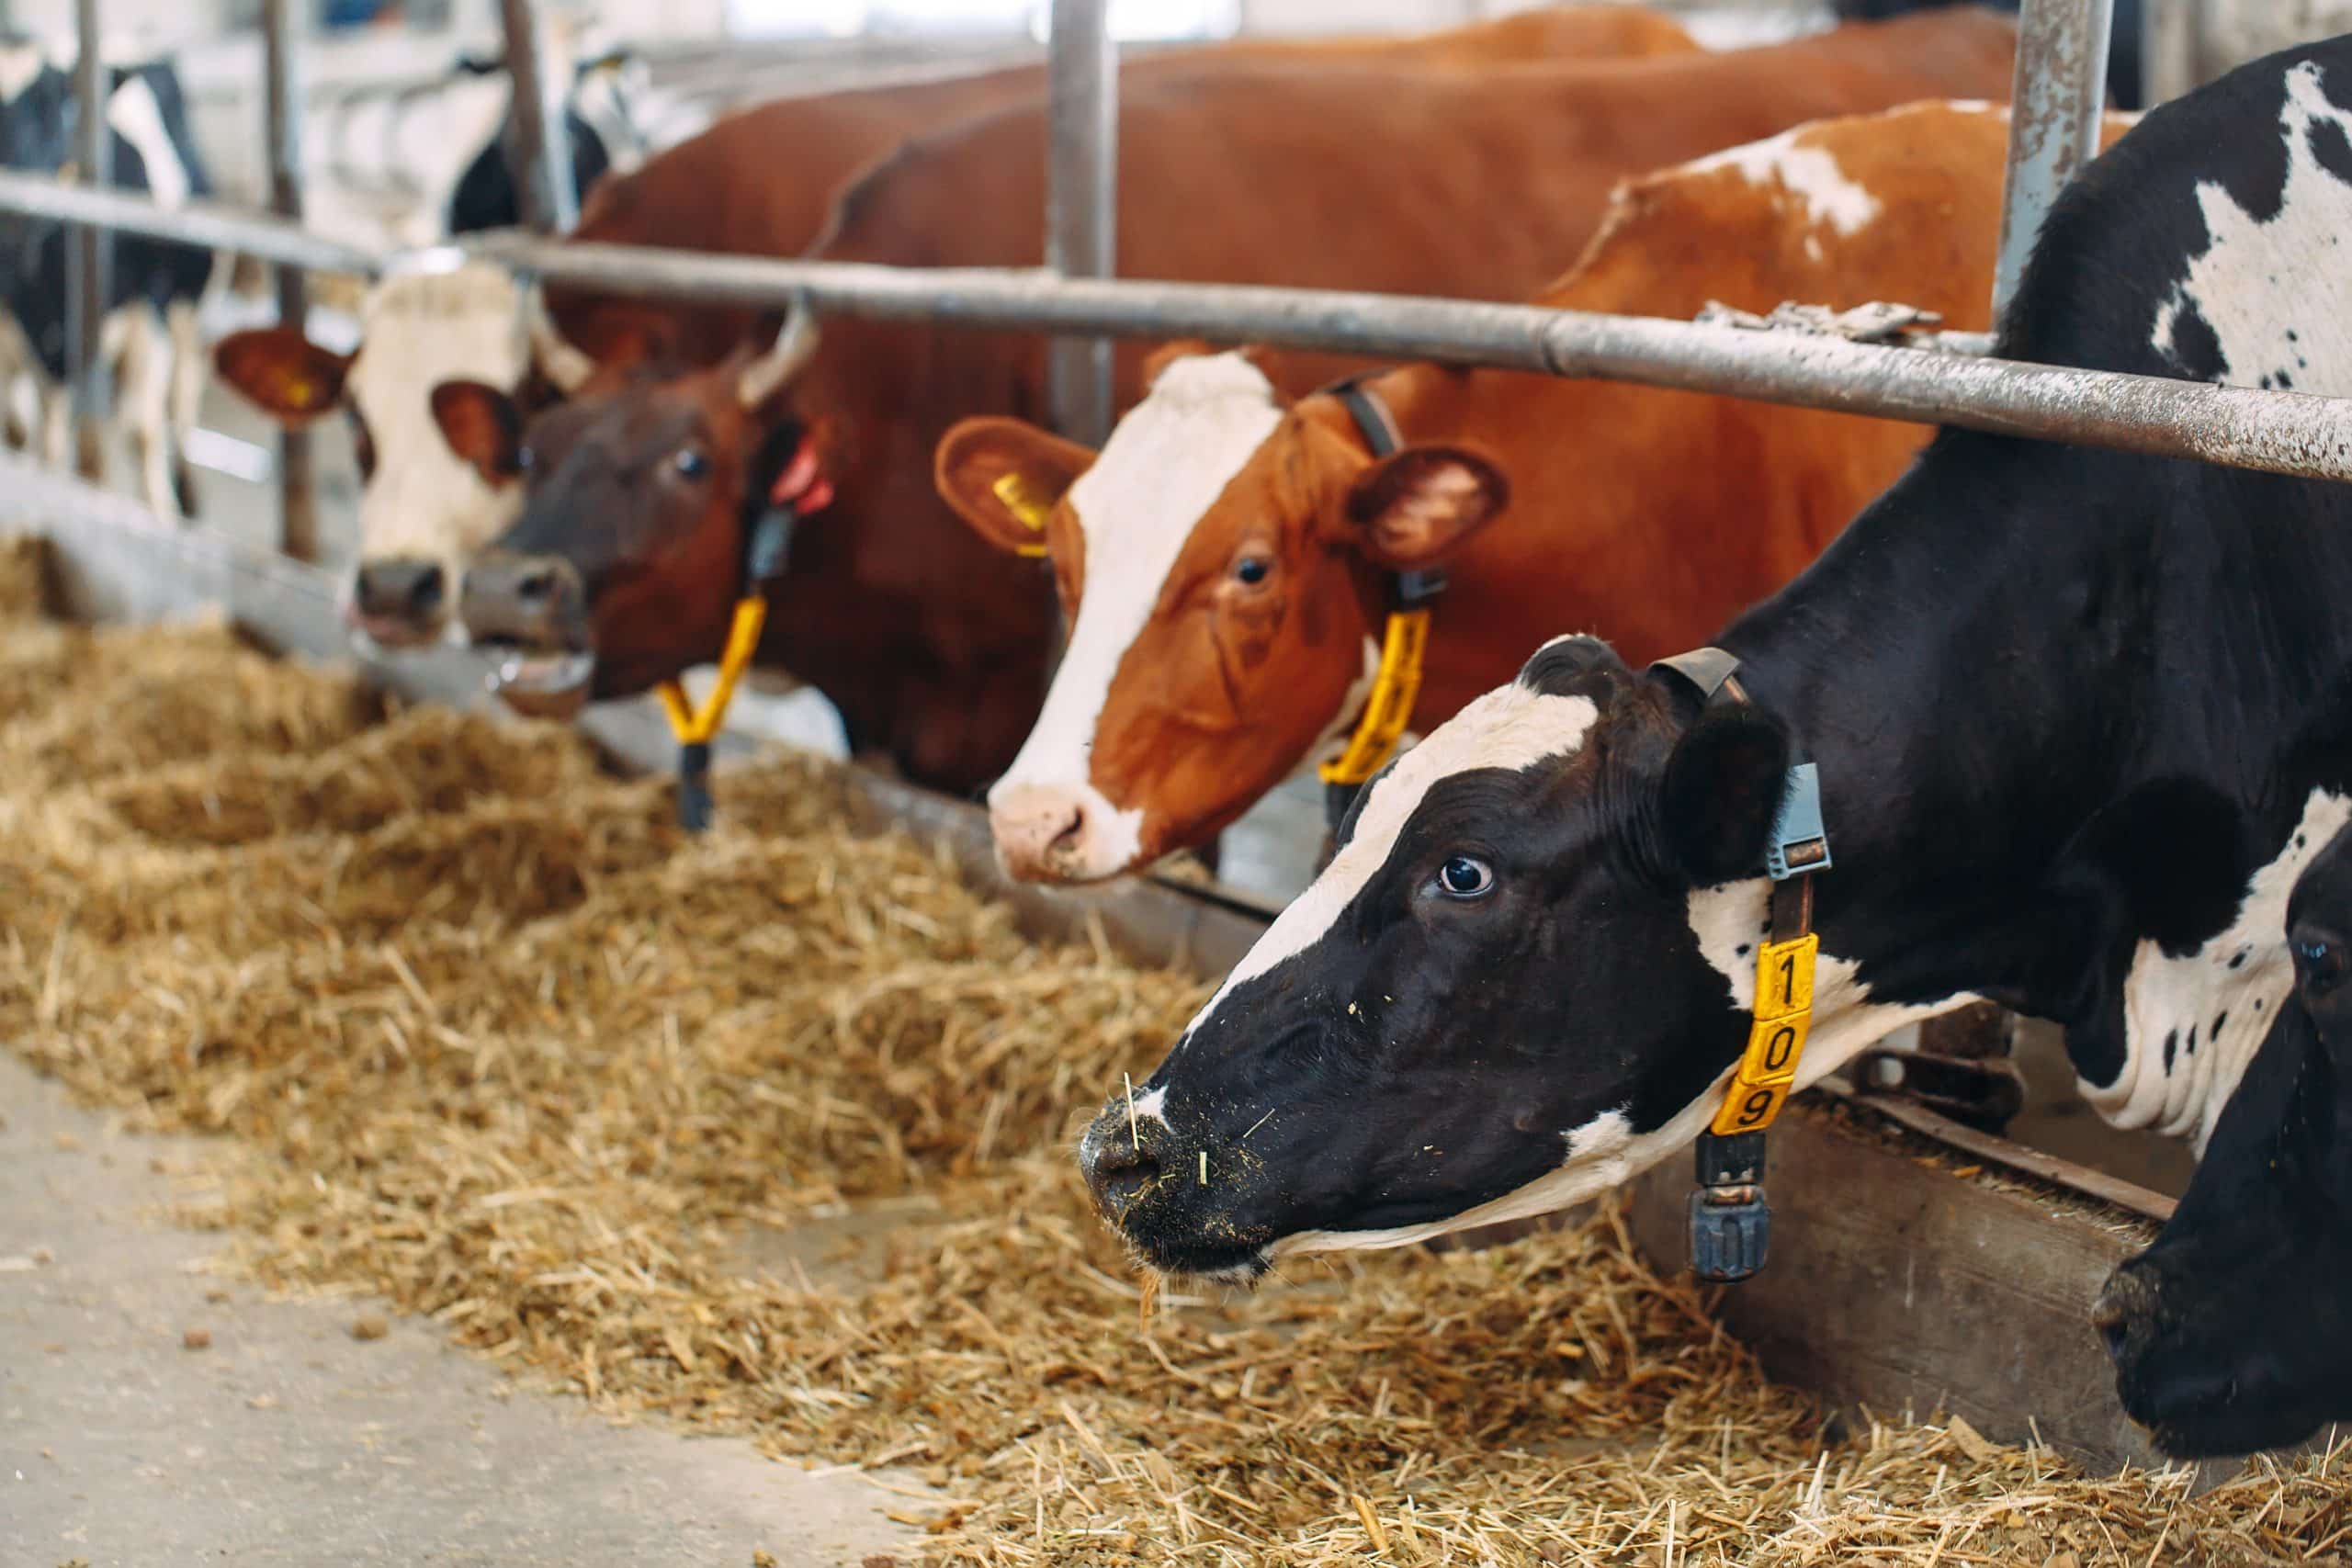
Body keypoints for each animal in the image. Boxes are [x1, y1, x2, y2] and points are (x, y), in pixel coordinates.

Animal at [0, 39, 220, 517]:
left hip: (189, 303)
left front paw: (159, 515)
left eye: (61, 106)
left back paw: (188, 491)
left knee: (184, 390)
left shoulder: (147, 310)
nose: (12, 211)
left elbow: (141, 431)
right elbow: (26, 435)